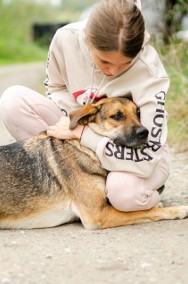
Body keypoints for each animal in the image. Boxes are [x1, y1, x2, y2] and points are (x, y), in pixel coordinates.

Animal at [0, 96, 188, 230]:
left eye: (138, 113)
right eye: (117, 116)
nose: (145, 132)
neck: (85, 148)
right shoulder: (98, 215)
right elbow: (147, 211)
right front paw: (177, 210)